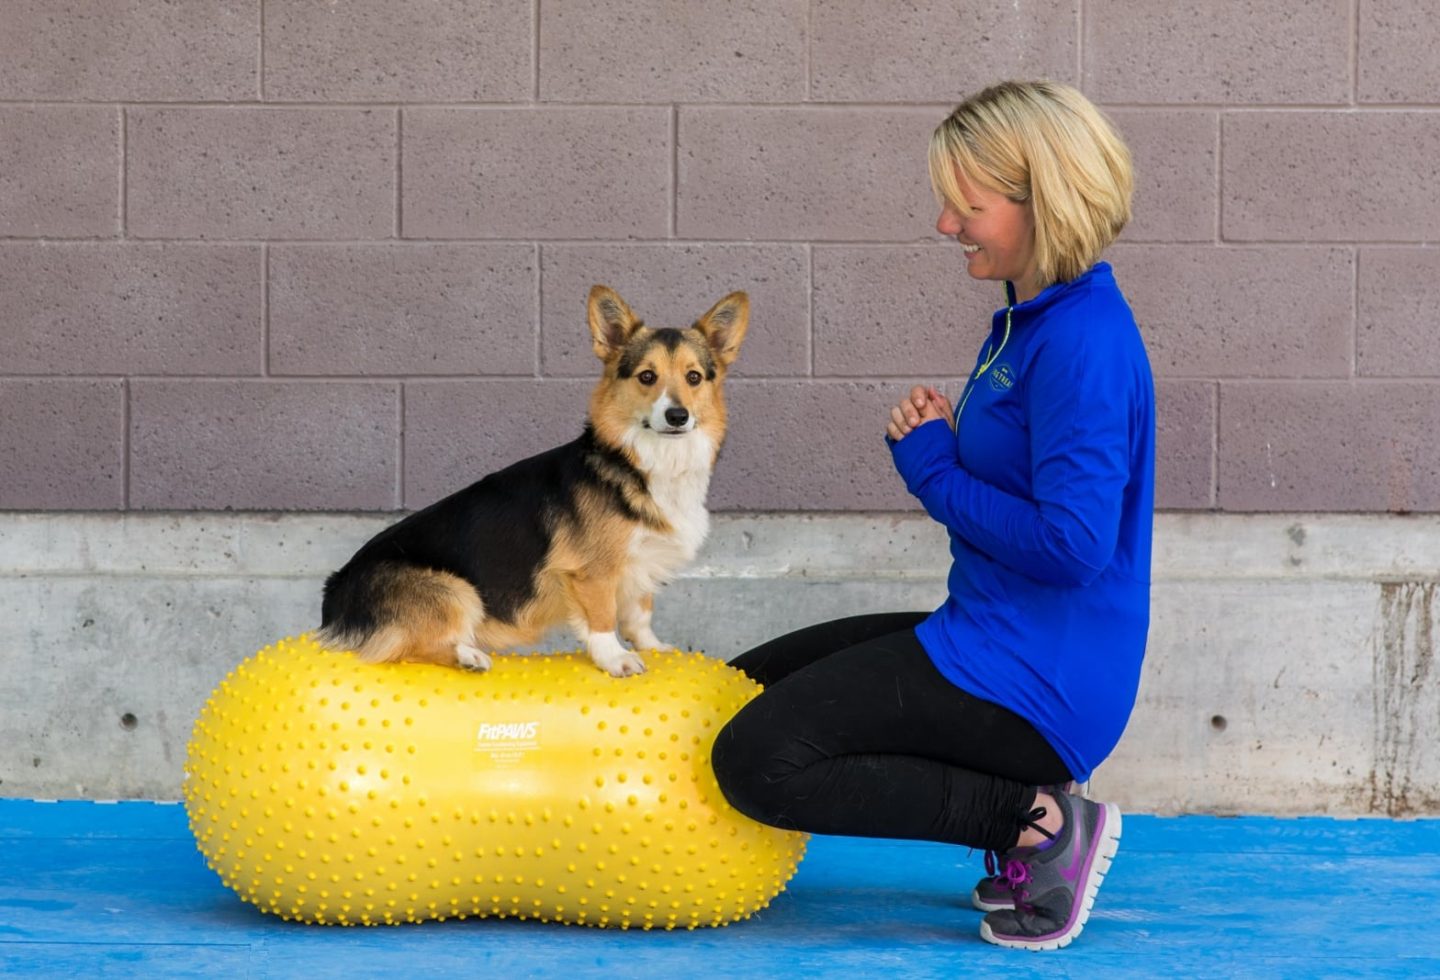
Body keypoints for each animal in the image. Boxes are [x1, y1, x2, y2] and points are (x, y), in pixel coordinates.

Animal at [316, 284, 754, 673]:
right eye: (647, 377)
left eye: (694, 377)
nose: (677, 416)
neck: (642, 461)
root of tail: (333, 599)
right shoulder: (593, 572)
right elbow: (602, 618)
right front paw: (616, 659)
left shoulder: (639, 565)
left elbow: (639, 614)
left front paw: (655, 648)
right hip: (457, 590)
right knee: (403, 649)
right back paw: (468, 657)